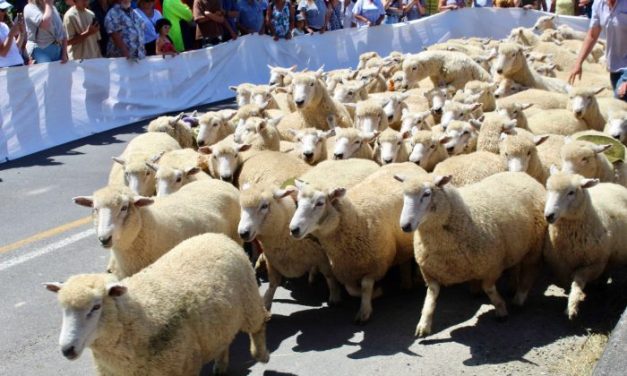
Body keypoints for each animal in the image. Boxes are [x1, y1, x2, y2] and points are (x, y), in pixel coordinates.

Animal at [43, 234, 270, 374]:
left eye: (96, 307)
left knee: (258, 327)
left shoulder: (183, 366)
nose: (67, 349)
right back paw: (221, 365)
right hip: (218, 322)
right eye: (63, 310)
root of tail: (216, 236)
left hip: (249, 300)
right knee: (223, 339)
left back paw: (262, 355)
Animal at [290, 162, 426, 324]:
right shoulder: (345, 268)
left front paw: (366, 309)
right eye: (297, 202)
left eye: (320, 203)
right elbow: (351, 289)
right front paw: (372, 294)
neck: (357, 219)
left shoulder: (376, 265)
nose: (293, 229)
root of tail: (408, 163)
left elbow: (365, 287)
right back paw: (406, 283)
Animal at [400, 172, 548, 336]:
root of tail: (522, 174)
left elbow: (488, 288)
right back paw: (510, 287)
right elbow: (430, 297)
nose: (405, 226)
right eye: (403, 195)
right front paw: (424, 324)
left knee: (530, 270)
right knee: (514, 264)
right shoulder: (430, 272)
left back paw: (518, 299)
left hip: (534, 246)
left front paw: (501, 310)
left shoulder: (492, 266)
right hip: (516, 245)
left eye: (427, 194)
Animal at [544, 169, 627, 318]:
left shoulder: (595, 264)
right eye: (548, 189)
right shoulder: (560, 265)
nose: (549, 215)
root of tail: (614, 184)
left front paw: (572, 305)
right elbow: (568, 280)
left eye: (571, 192)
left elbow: (578, 280)